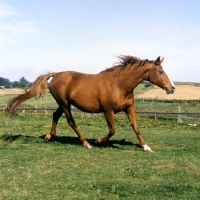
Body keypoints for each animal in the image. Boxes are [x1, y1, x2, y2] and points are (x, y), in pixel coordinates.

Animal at [5, 55, 175, 152]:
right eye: (160, 71)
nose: (172, 88)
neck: (119, 84)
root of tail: (56, 74)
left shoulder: (129, 108)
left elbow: (136, 127)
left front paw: (146, 147)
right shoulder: (108, 110)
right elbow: (112, 130)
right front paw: (99, 140)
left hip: (62, 104)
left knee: (55, 115)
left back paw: (49, 136)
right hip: (65, 104)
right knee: (71, 121)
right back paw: (86, 143)